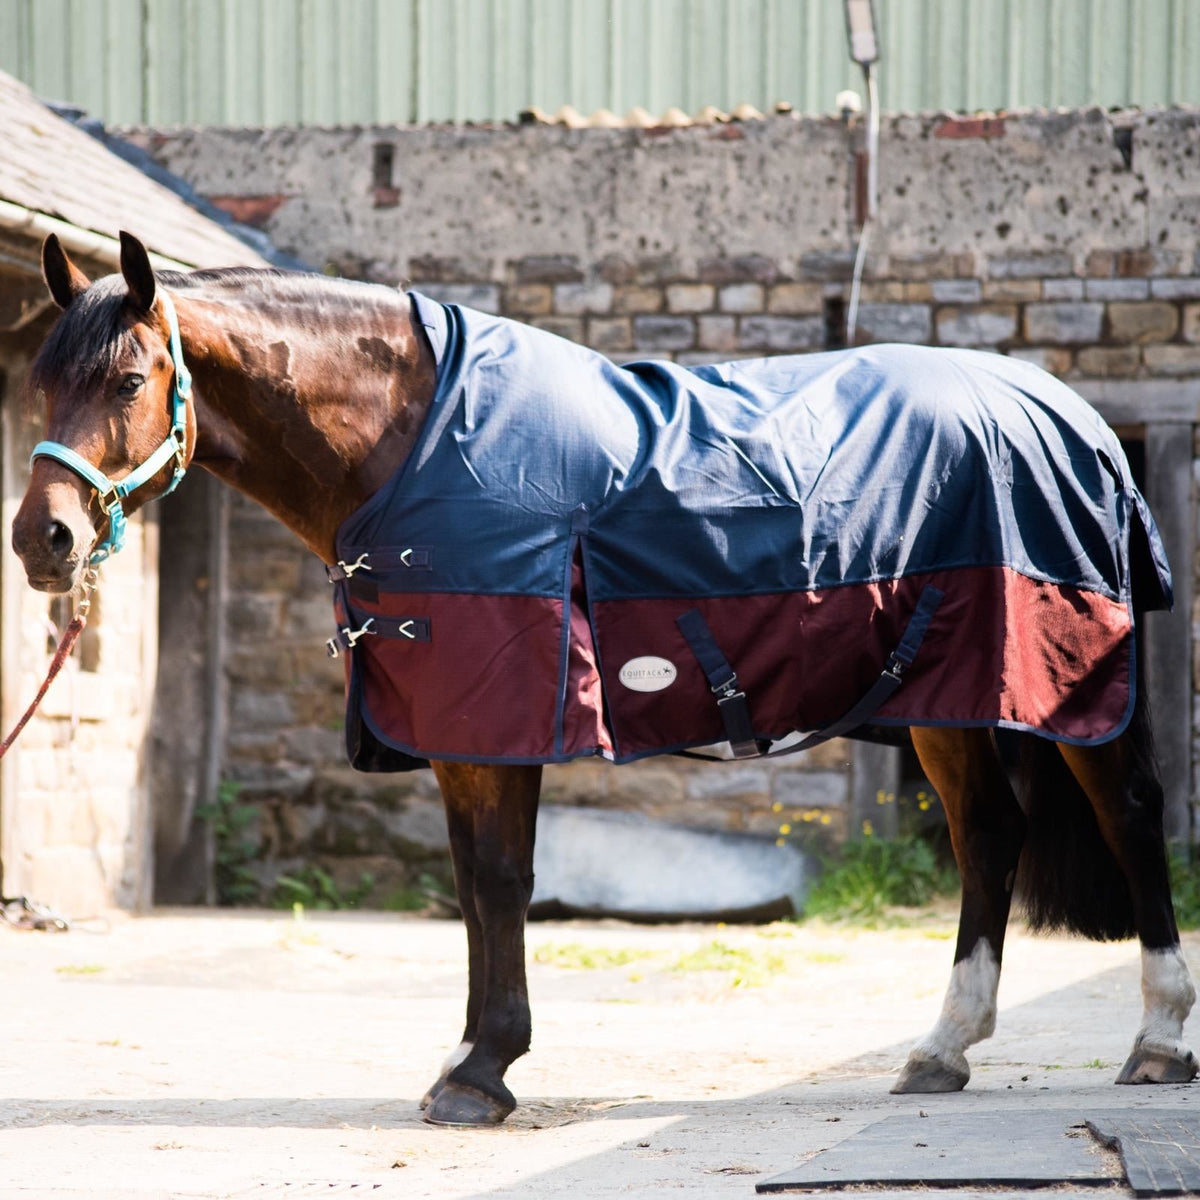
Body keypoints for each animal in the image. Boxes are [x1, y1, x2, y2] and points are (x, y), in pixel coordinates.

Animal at [11, 231, 1196, 1128]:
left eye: (128, 380)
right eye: (38, 384)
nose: (42, 540)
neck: (416, 442)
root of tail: (1071, 417)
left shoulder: (504, 712)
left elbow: (500, 882)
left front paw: (481, 1074)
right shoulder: (460, 726)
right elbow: (476, 886)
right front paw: (473, 1058)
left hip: (1069, 686)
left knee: (1131, 814)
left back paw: (1155, 1038)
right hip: (944, 697)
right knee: (988, 834)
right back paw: (943, 1048)